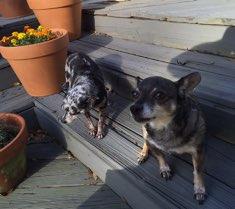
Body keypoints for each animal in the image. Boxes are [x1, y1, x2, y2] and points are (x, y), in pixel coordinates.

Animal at [129, 72, 207, 203]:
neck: (163, 127)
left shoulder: (198, 152)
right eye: (135, 94)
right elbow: (160, 156)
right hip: (145, 131)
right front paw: (164, 169)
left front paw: (199, 189)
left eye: (159, 95)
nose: (133, 108)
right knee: (145, 140)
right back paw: (143, 154)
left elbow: (198, 171)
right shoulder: (153, 144)